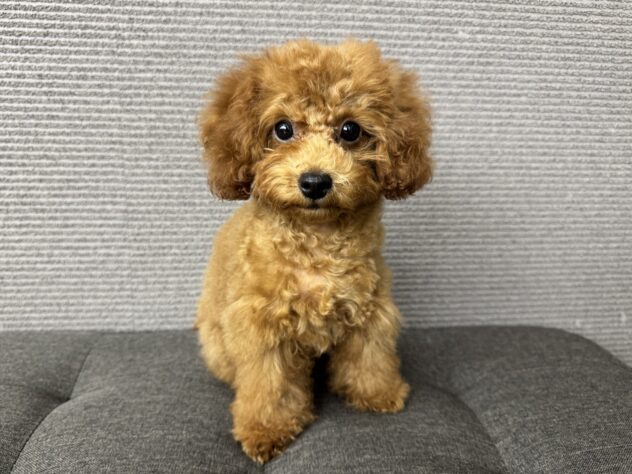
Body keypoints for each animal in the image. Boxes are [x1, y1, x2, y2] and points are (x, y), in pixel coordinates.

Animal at [195, 38, 433, 463]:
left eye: (350, 130)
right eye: (283, 129)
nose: (315, 182)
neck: (317, 240)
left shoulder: (371, 309)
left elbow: (370, 355)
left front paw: (378, 393)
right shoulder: (263, 325)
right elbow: (269, 383)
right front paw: (266, 429)